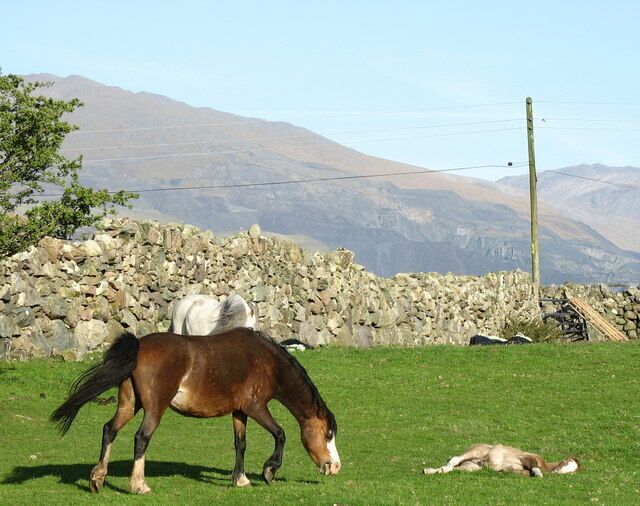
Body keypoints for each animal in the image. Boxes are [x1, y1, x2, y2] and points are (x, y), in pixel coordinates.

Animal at [51, 328, 341, 494]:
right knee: (141, 438)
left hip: (130, 404)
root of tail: (139, 346)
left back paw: (97, 479)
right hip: (154, 408)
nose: (335, 467)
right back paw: (139, 485)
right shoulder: (255, 407)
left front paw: (240, 480)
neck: (266, 361)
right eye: (328, 434)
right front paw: (269, 471)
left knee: (109, 430)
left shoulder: (239, 411)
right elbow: (280, 434)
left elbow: (240, 444)